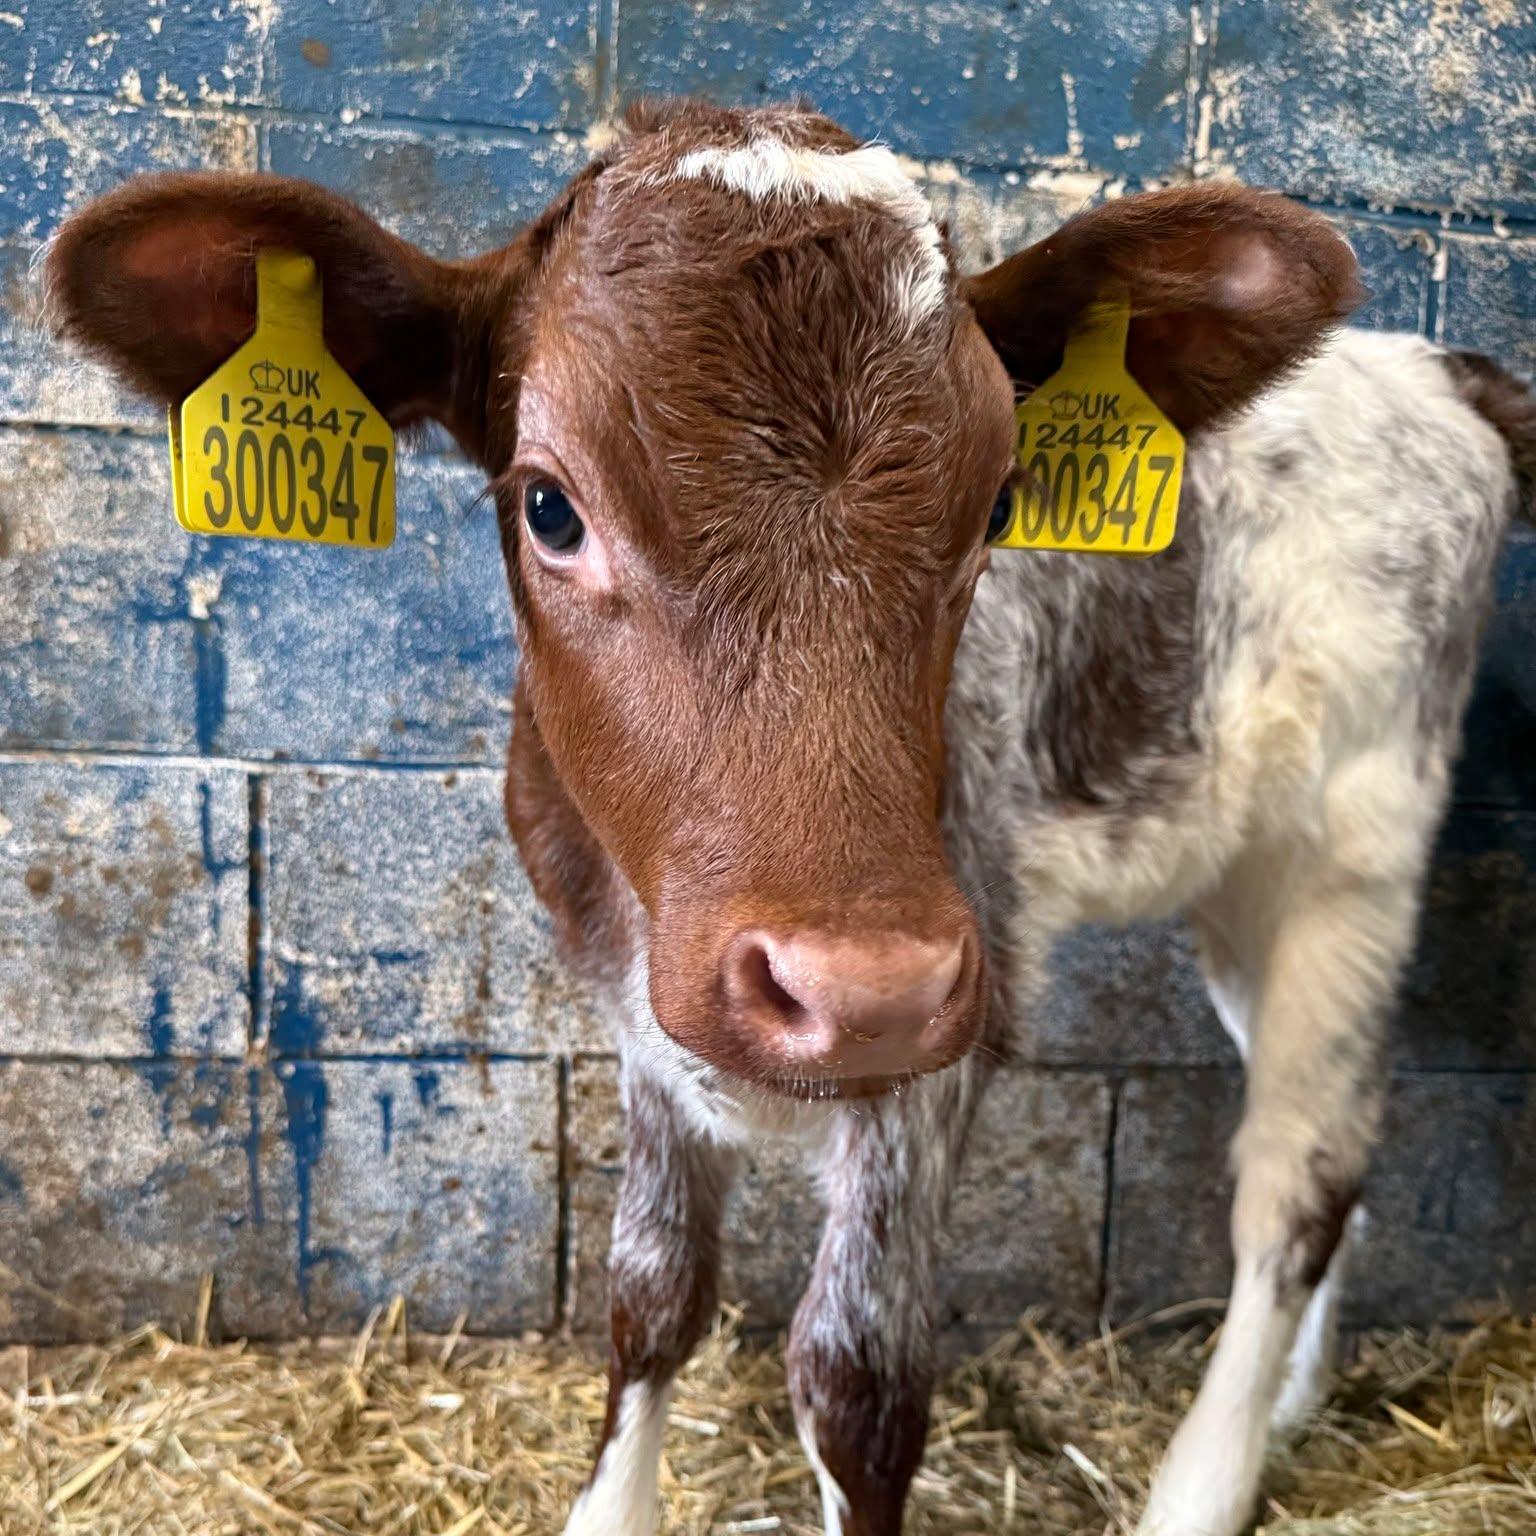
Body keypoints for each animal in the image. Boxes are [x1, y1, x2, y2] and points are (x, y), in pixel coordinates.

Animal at [47, 97, 1536, 1536]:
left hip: (1352, 851)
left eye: (1001, 502)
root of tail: (1428, 367)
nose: (864, 985)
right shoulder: (637, 1013)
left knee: (1299, 1174)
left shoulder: (945, 1027)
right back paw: (1291, 1403)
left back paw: (1203, 1485)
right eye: (550, 507)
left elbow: (857, 1388)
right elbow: (648, 1296)